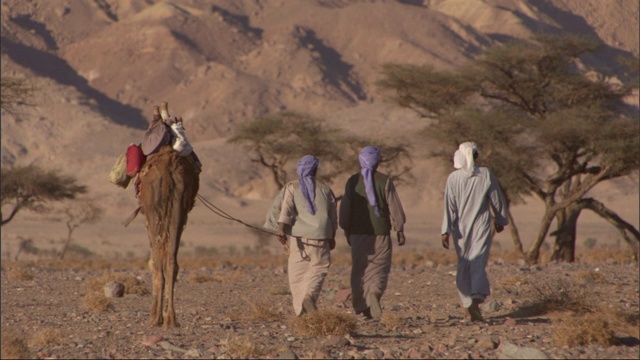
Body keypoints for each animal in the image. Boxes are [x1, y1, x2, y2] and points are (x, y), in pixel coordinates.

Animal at [138, 101, 200, 326]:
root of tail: (169, 169)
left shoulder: (146, 218)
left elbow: (152, 261)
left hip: (154, 211)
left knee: (158, 260)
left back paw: (156, 317)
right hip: (179, 208)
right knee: (172, 261)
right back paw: (171, 318)